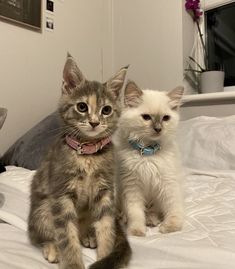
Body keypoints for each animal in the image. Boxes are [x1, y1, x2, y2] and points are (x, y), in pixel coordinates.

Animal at [27, 54, 131, 268]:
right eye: (82, 107)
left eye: (106, 110)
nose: (94, 122)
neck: (88, 155)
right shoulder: (61, 195)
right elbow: (67, 236)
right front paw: (72, 263)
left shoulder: (105, 192)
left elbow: (106, 228)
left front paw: (106, 256)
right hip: (42, 209)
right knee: (39, 235)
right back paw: (52, 247)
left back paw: (89, 234)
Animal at [114, 80, 184, 236]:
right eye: (146, 117)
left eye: (165, 118)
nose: (158, 129)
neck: (148, 152)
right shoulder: (132, 186)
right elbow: (135, 213)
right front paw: (136, 230)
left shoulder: (167, 183)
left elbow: (172, 207)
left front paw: (171, 227)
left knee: (153, 210)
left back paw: (152, 220)